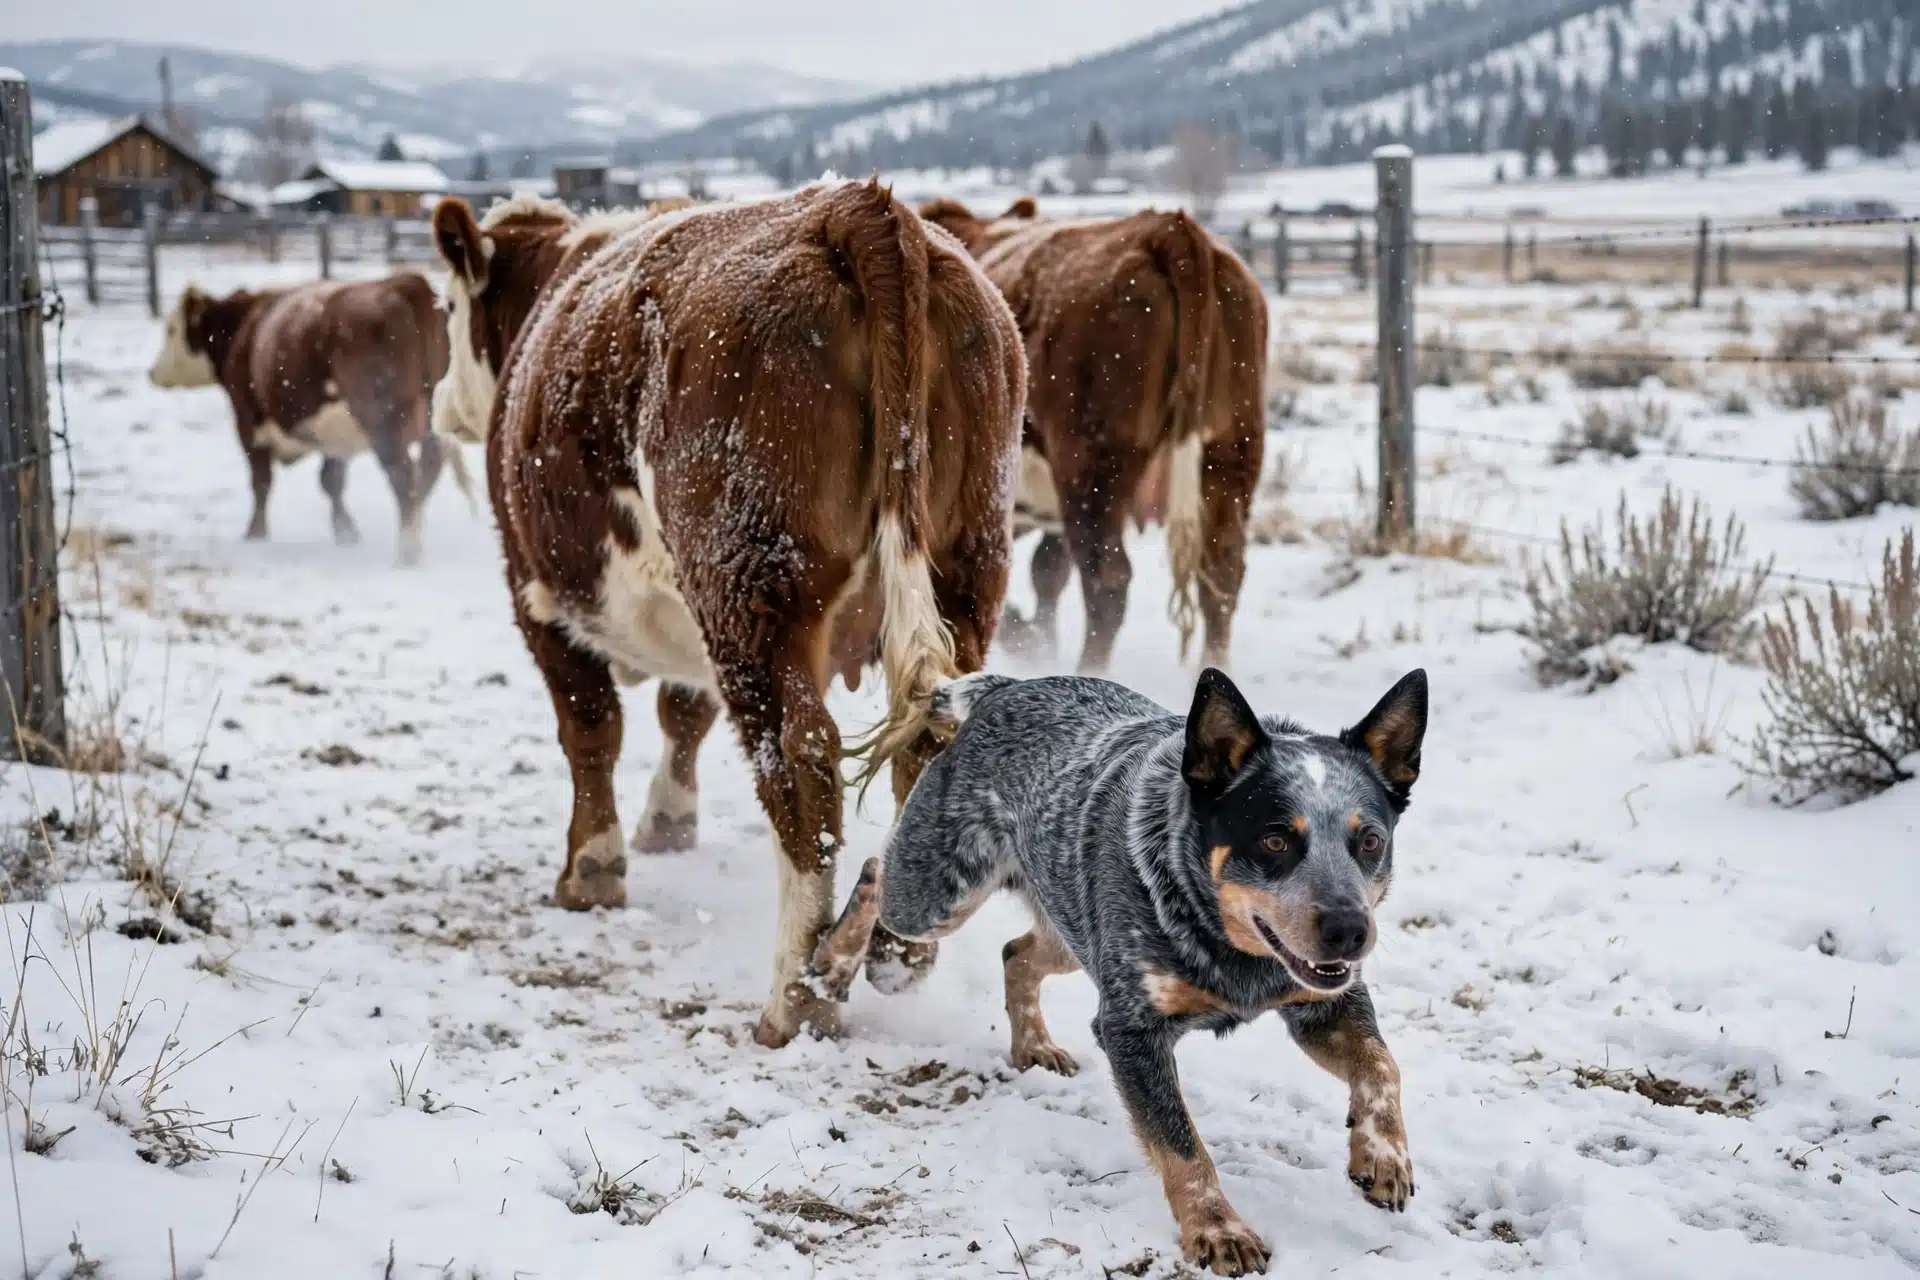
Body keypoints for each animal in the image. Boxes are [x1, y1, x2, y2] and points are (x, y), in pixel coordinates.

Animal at [148, 273, 462, 565]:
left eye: (171, 329)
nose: (151, 372)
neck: (244, 326)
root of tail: (402, 283)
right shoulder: (333, 433)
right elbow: (331, 480)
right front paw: (346, 532)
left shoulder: (248, 421)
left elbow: (261, 481)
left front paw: (255, 534)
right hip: (432, 421)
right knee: (427, 469)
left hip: (384, 424)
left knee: (403, 476)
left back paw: (407, 551)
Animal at [429, 183, 1026, 1048]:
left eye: (446, 305)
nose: (441, 404)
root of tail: (860, 209)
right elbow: (683, 713)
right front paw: (668, 823)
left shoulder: (537, 594)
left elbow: (590, 729)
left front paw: (592, 869)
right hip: (965, 569)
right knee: (928, 747)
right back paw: (894, 946)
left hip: (752, 587)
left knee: (800, 767)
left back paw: (797, 994)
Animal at [920, 197, 1268, 673]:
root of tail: (1168, 229)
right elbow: (1047, 570)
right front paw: (1039, 642)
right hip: (1231, 452)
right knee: (1222, 570)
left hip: (1093, 465)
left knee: (1107, 578)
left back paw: (1088, 671)